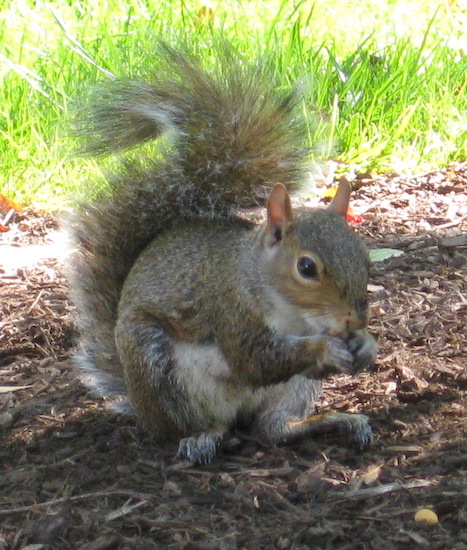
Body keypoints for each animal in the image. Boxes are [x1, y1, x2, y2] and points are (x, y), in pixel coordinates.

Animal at [70, 44, 376, 466]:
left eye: (365, 257)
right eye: (306, 267)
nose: (354, 319)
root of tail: (140, 405)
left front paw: (365, 344)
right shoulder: (232, 309)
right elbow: (255, 360)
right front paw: (325, 347)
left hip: (293, 389)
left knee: (273, 429)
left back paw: (331, 422)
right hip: (157, 365)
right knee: (195, 424)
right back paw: (204, 438)